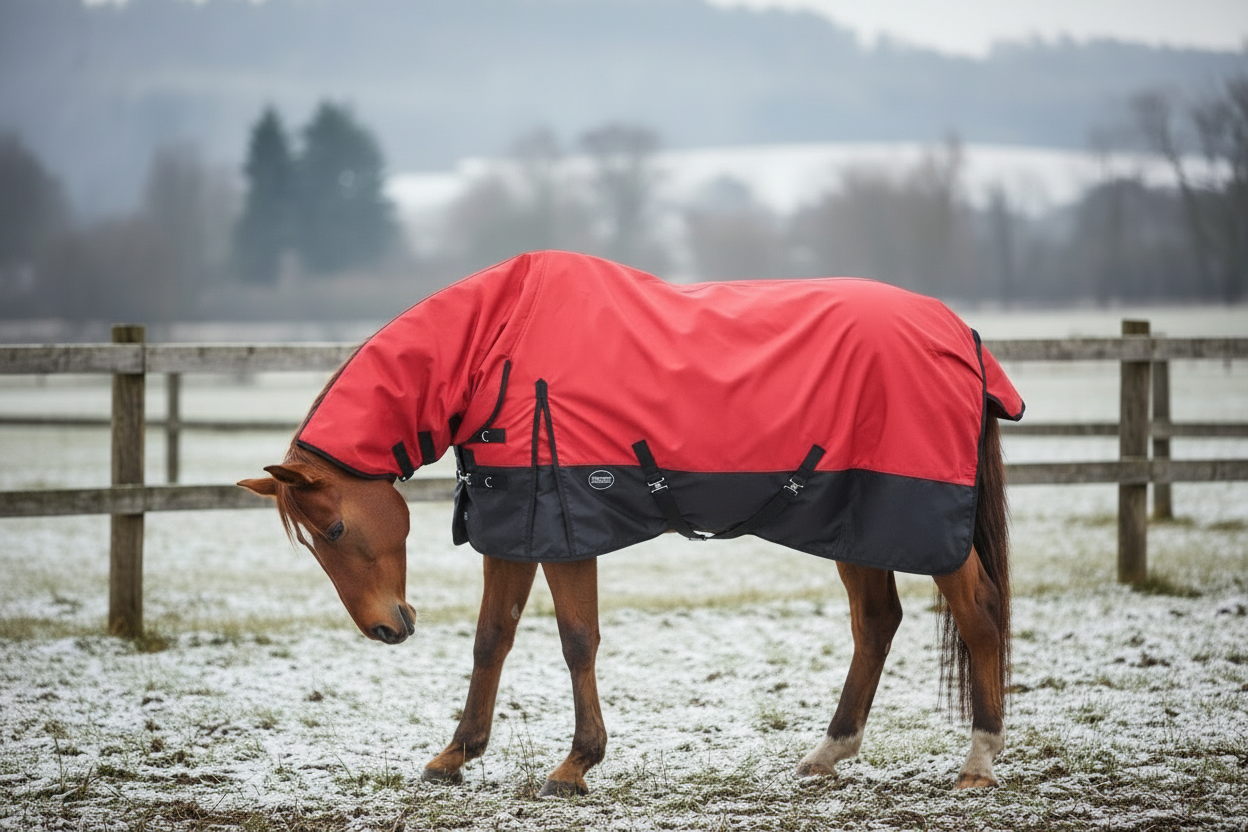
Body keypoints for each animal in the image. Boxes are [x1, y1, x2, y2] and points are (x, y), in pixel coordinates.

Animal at [239, 250, 1022, 795]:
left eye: (333, 531)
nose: (385, 629)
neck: (498, 347)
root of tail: (962, 334)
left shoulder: (562, 530)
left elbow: (576, 640)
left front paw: (575, 766)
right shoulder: (513, 526)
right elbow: (492, 640)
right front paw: (454, 756)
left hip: (921, 522)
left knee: (980, 611)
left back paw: (978, 762)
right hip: (855, 522)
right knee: (876, 621)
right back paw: (828, 754)